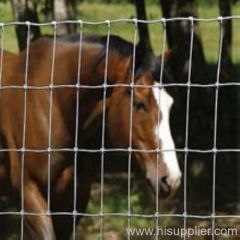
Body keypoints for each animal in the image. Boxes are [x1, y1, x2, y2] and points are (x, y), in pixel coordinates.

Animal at [0, 34, 181, 239]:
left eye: (170, 105)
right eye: (140, 104)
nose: (171, 179)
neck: (53, 104)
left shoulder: (74, 198)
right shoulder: (29, 193)